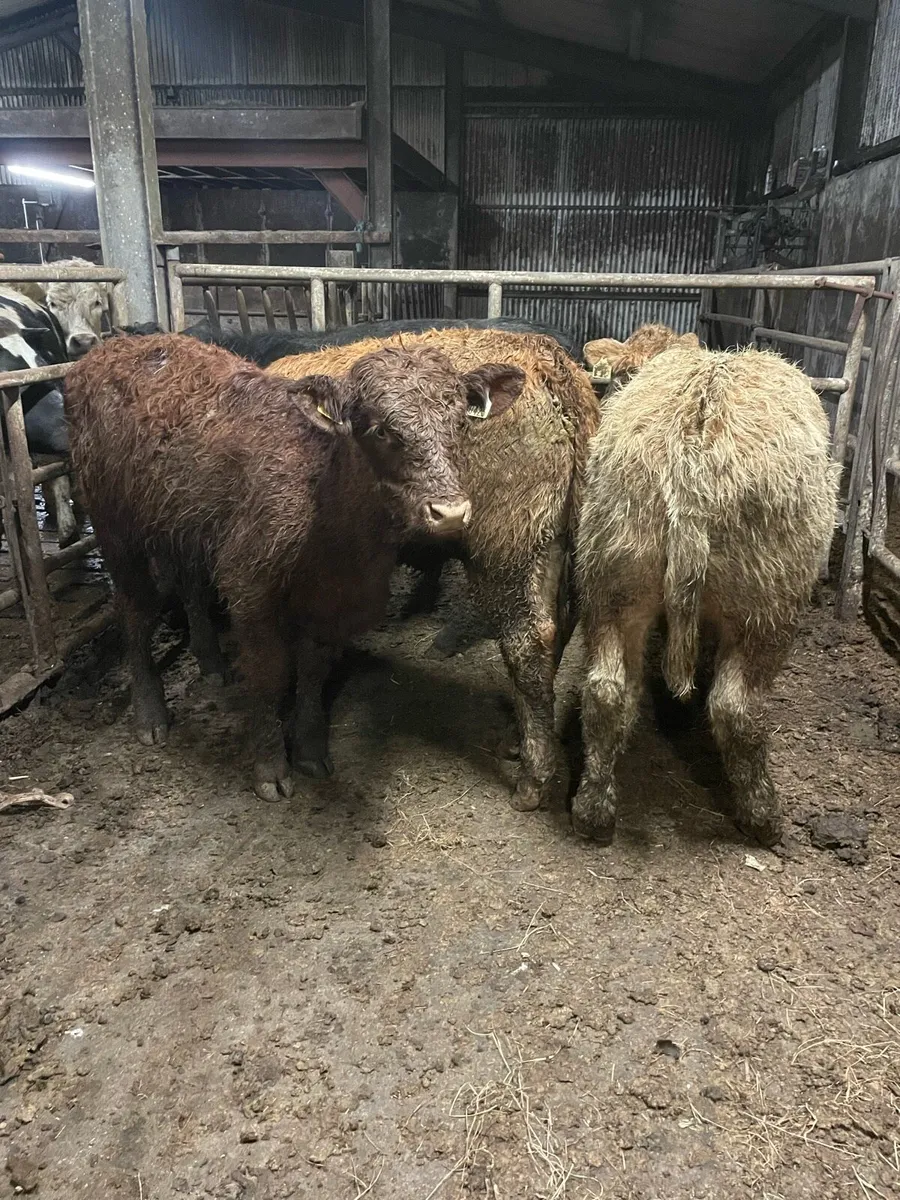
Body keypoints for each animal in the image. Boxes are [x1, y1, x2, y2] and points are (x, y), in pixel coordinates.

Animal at [65, 333, 524, 800]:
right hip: (115, 530)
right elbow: (270, 674)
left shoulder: (328, 606)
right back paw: (150, 713)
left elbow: (313, 671)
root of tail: (115, 346)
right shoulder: (251, 592)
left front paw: (309, 748)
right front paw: (270, 766)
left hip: (185, 526)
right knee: (135, 610)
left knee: (190, 585)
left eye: (460, 423)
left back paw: (211, 664)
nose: (449, 512)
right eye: (380, 429)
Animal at [268, 328, 601, 813]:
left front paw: (309, 749)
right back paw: (517, 741)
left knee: (527, 642)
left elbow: (314, 649)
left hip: (506, 552)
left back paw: (533, 778)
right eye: (381, 429)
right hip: (553, 543)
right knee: (556, 626)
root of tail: (550, 365)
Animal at [572, 345, 839, 846]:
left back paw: (593, 811)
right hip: (767, 603)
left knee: (605, 692)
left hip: (612, 575)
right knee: (736, 709)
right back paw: (763, 816)